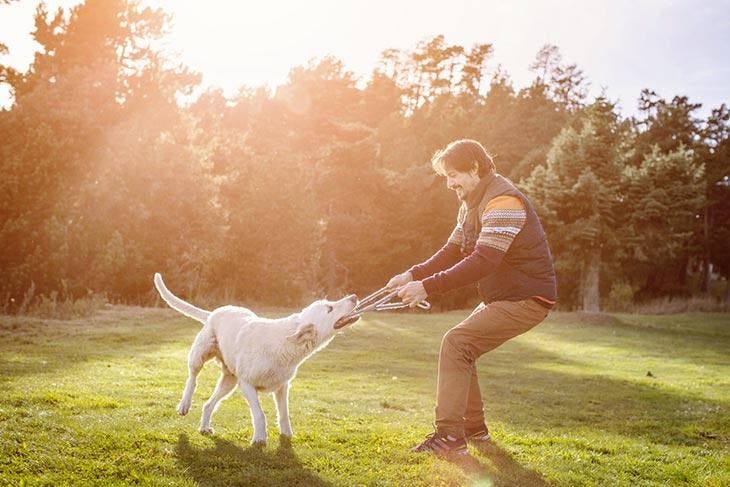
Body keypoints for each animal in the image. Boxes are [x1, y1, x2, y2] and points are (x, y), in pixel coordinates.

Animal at [154, 272, 358, 444]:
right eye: (330, 308)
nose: (355, 297)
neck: (285, 344)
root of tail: (215, 312)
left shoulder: (282, 388)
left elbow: (284, 414)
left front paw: (287, 436)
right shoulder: (247, 385)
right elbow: (260, 414)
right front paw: (260, 439)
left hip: (229, 381)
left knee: (208, 404)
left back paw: (204, 428)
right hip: (200, 355)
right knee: (192, 378)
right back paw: (184, 405)